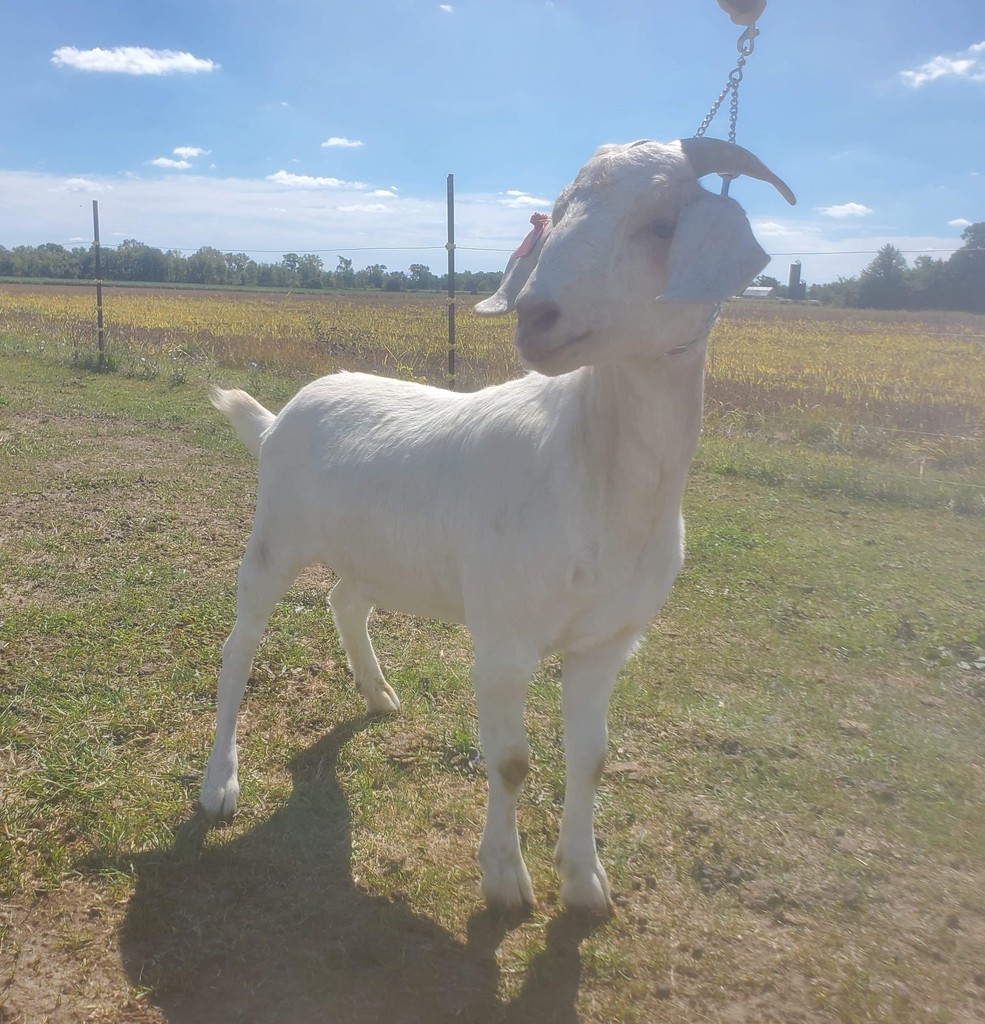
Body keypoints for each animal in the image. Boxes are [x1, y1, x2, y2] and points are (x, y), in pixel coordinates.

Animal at [199, 137, 795, 915]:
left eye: (663, 224)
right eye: (560, 213)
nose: (537, 314)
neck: (591, 468)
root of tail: (275, 419)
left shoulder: (607, 642)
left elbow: (592, 759)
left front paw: (585, 883)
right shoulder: (504, 637)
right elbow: (511, 762)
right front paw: (506, 880)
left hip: (375, 553)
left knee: (345, 600)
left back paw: (378, 695)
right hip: (273, 538)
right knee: (238, 649)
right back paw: (219, 785)